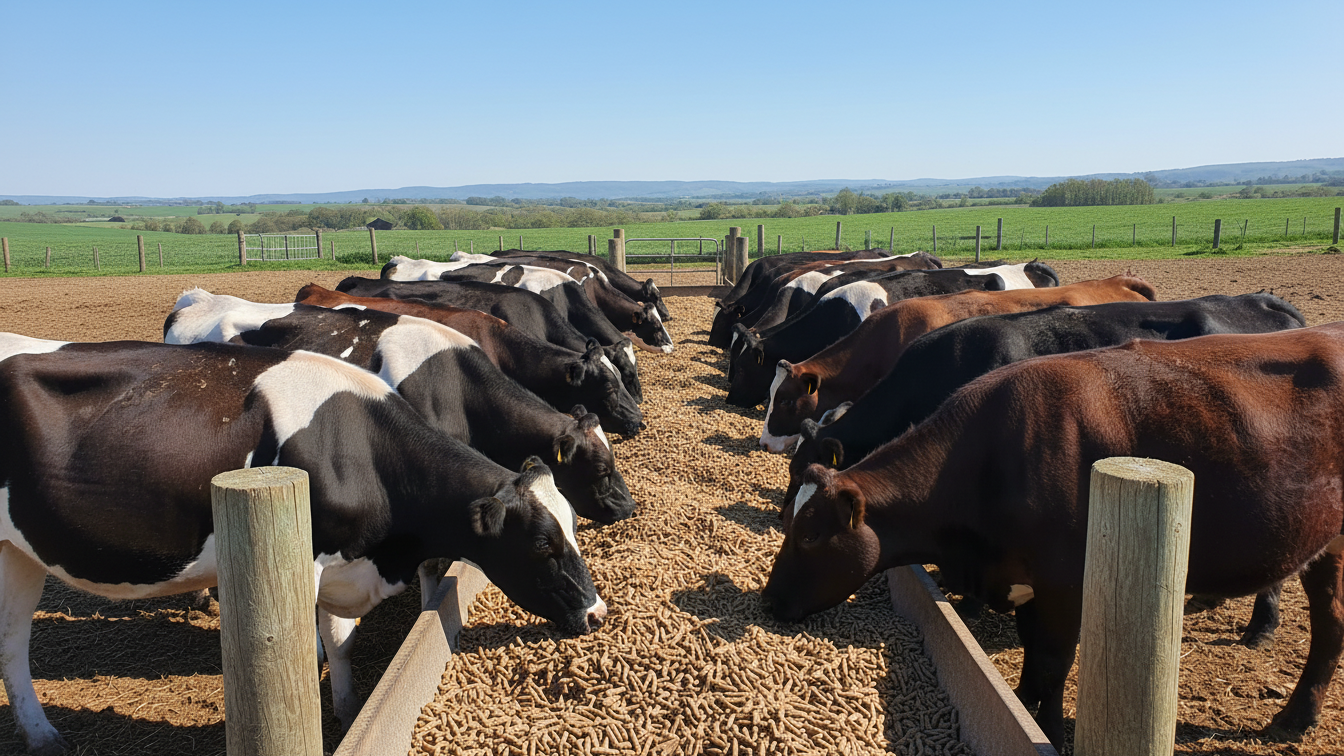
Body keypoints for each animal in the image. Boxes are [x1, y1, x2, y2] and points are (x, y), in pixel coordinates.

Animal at [0, 335, 606, 754]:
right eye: (542, 547)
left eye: (573, 530)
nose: (598, 613)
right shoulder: (310, 560)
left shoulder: (344, 565)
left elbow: (340, 642)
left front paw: (349, 708)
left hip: (18, 555)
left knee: (11, 643)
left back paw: (41, 734)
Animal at [764, 322, 1344, 747]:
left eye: (810, 536)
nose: (769, 600)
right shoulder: (1024, 583)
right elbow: (1031, 654)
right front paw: (1021, 701)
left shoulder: (1066, 587)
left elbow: (1053, 663)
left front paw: (1047, 729)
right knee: (1330, 621)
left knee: (1326, 625)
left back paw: (1288, 696)